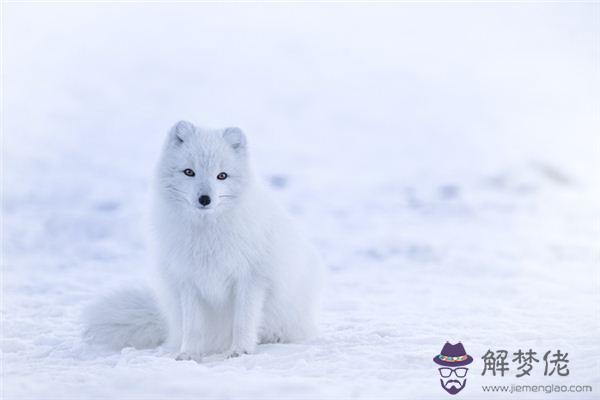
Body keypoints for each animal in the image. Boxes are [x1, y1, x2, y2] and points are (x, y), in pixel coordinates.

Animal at [84, 121, 324, 360]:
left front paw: (240, 351)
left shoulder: (251, 278)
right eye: (189, 172)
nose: (205, 199)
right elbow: (193, 327)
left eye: (222, 176)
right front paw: (188, 354)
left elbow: (243, 321)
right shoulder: (188, 281)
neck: (206, 234)